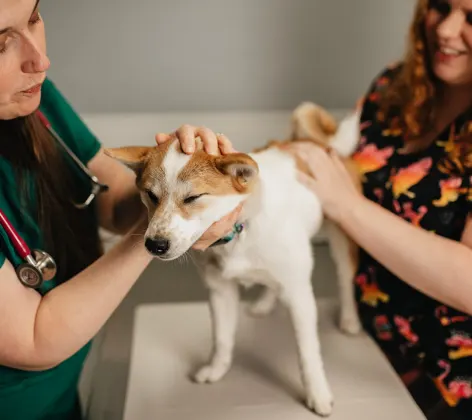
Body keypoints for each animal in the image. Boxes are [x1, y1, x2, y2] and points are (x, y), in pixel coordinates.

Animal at [106, 102, 362, 416]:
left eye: (192, 198)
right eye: (150, 196)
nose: (155, 245)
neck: (240, 232)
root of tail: (316, 143)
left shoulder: (300, 296)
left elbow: (308, 353)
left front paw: (317, 393)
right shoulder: (220, 291)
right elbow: (222, 339)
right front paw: (217, 369)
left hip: (340, 239)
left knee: (345, 279)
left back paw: (349, 318)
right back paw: (264, 303)